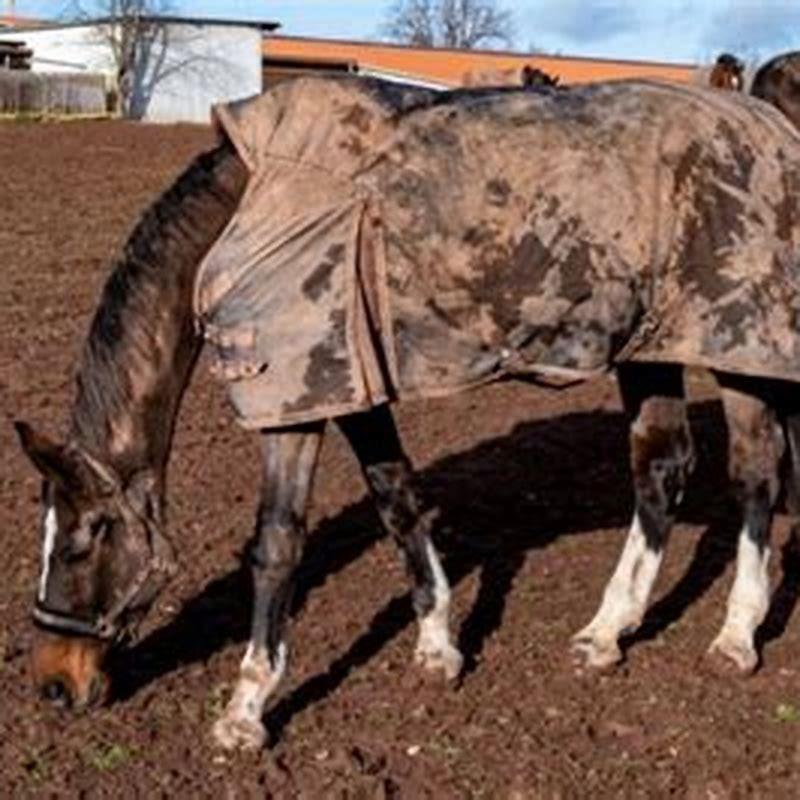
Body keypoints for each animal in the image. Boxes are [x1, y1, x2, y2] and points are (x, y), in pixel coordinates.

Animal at [14, 75, 800, 752]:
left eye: (81, 540)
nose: (52, 685)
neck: (254, 203)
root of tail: (772, 125)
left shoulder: (294, 396)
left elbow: (277, 546)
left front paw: (246, 708)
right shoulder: (350, 382)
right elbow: (396, 498)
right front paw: (438, 644)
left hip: (738, 342)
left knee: (755, 477)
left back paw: (735, 636)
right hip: (652, 343)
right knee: (662, 468)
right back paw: (608, 631)